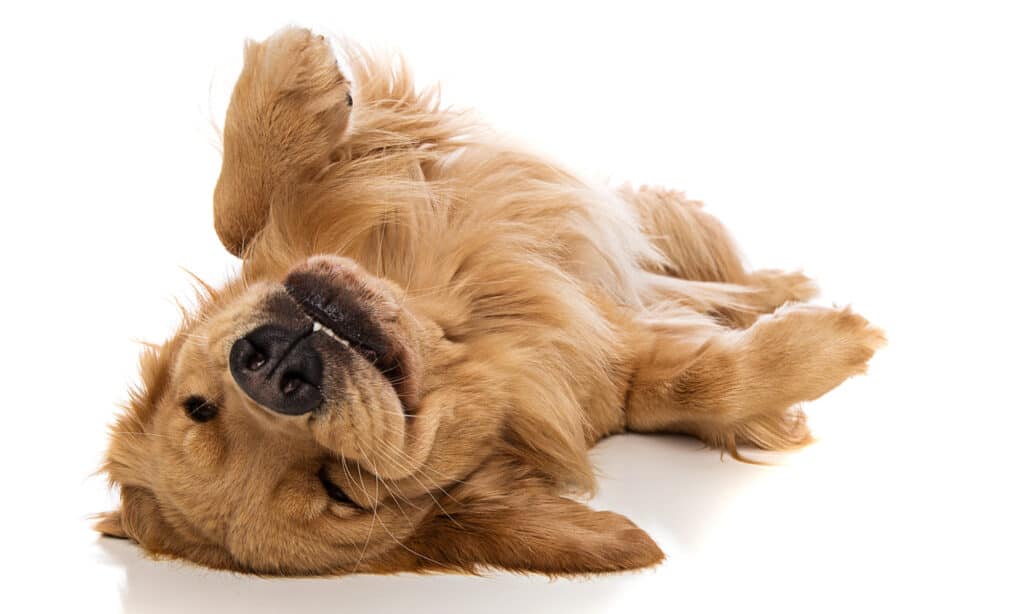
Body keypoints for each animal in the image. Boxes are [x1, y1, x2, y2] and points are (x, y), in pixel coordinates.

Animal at [94, 27, 880, 577]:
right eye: (342, 490)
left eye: (197, 407)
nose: (272, 371)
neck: (461, 324)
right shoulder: (616, 376)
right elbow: (698, 387)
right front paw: (834, 344)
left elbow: (238, 218)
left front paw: (294, 70)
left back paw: (779, 283)